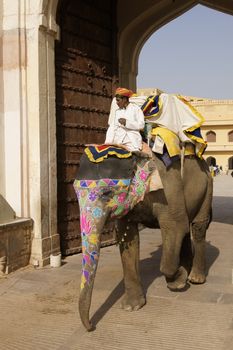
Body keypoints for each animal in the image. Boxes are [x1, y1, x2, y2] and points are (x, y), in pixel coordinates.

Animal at [73, 144, 213, 332]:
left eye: (107, 193)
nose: (91, 327)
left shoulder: (168, 190)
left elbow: (175, 226)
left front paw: (178, 280)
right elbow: (128, 239)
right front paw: (131, 307)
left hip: (207, 186)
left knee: (196, 227)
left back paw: (195, 278)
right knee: (185, 232)